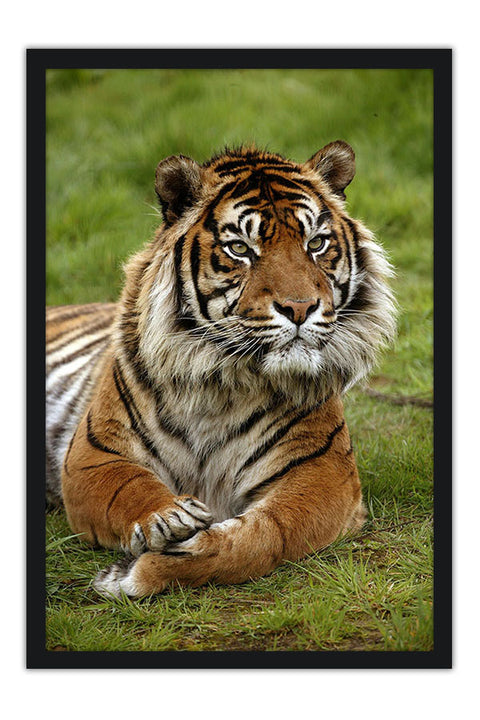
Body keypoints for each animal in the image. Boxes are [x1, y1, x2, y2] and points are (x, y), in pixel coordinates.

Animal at [46, 141, 396, 598]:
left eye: (317, 243)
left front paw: (143, 571)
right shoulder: (92, 456)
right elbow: (126, 487)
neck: (222, 382)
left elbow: (258, 539)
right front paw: (168, 517)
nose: (300, 307)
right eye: (240, 249)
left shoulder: (323, 474)